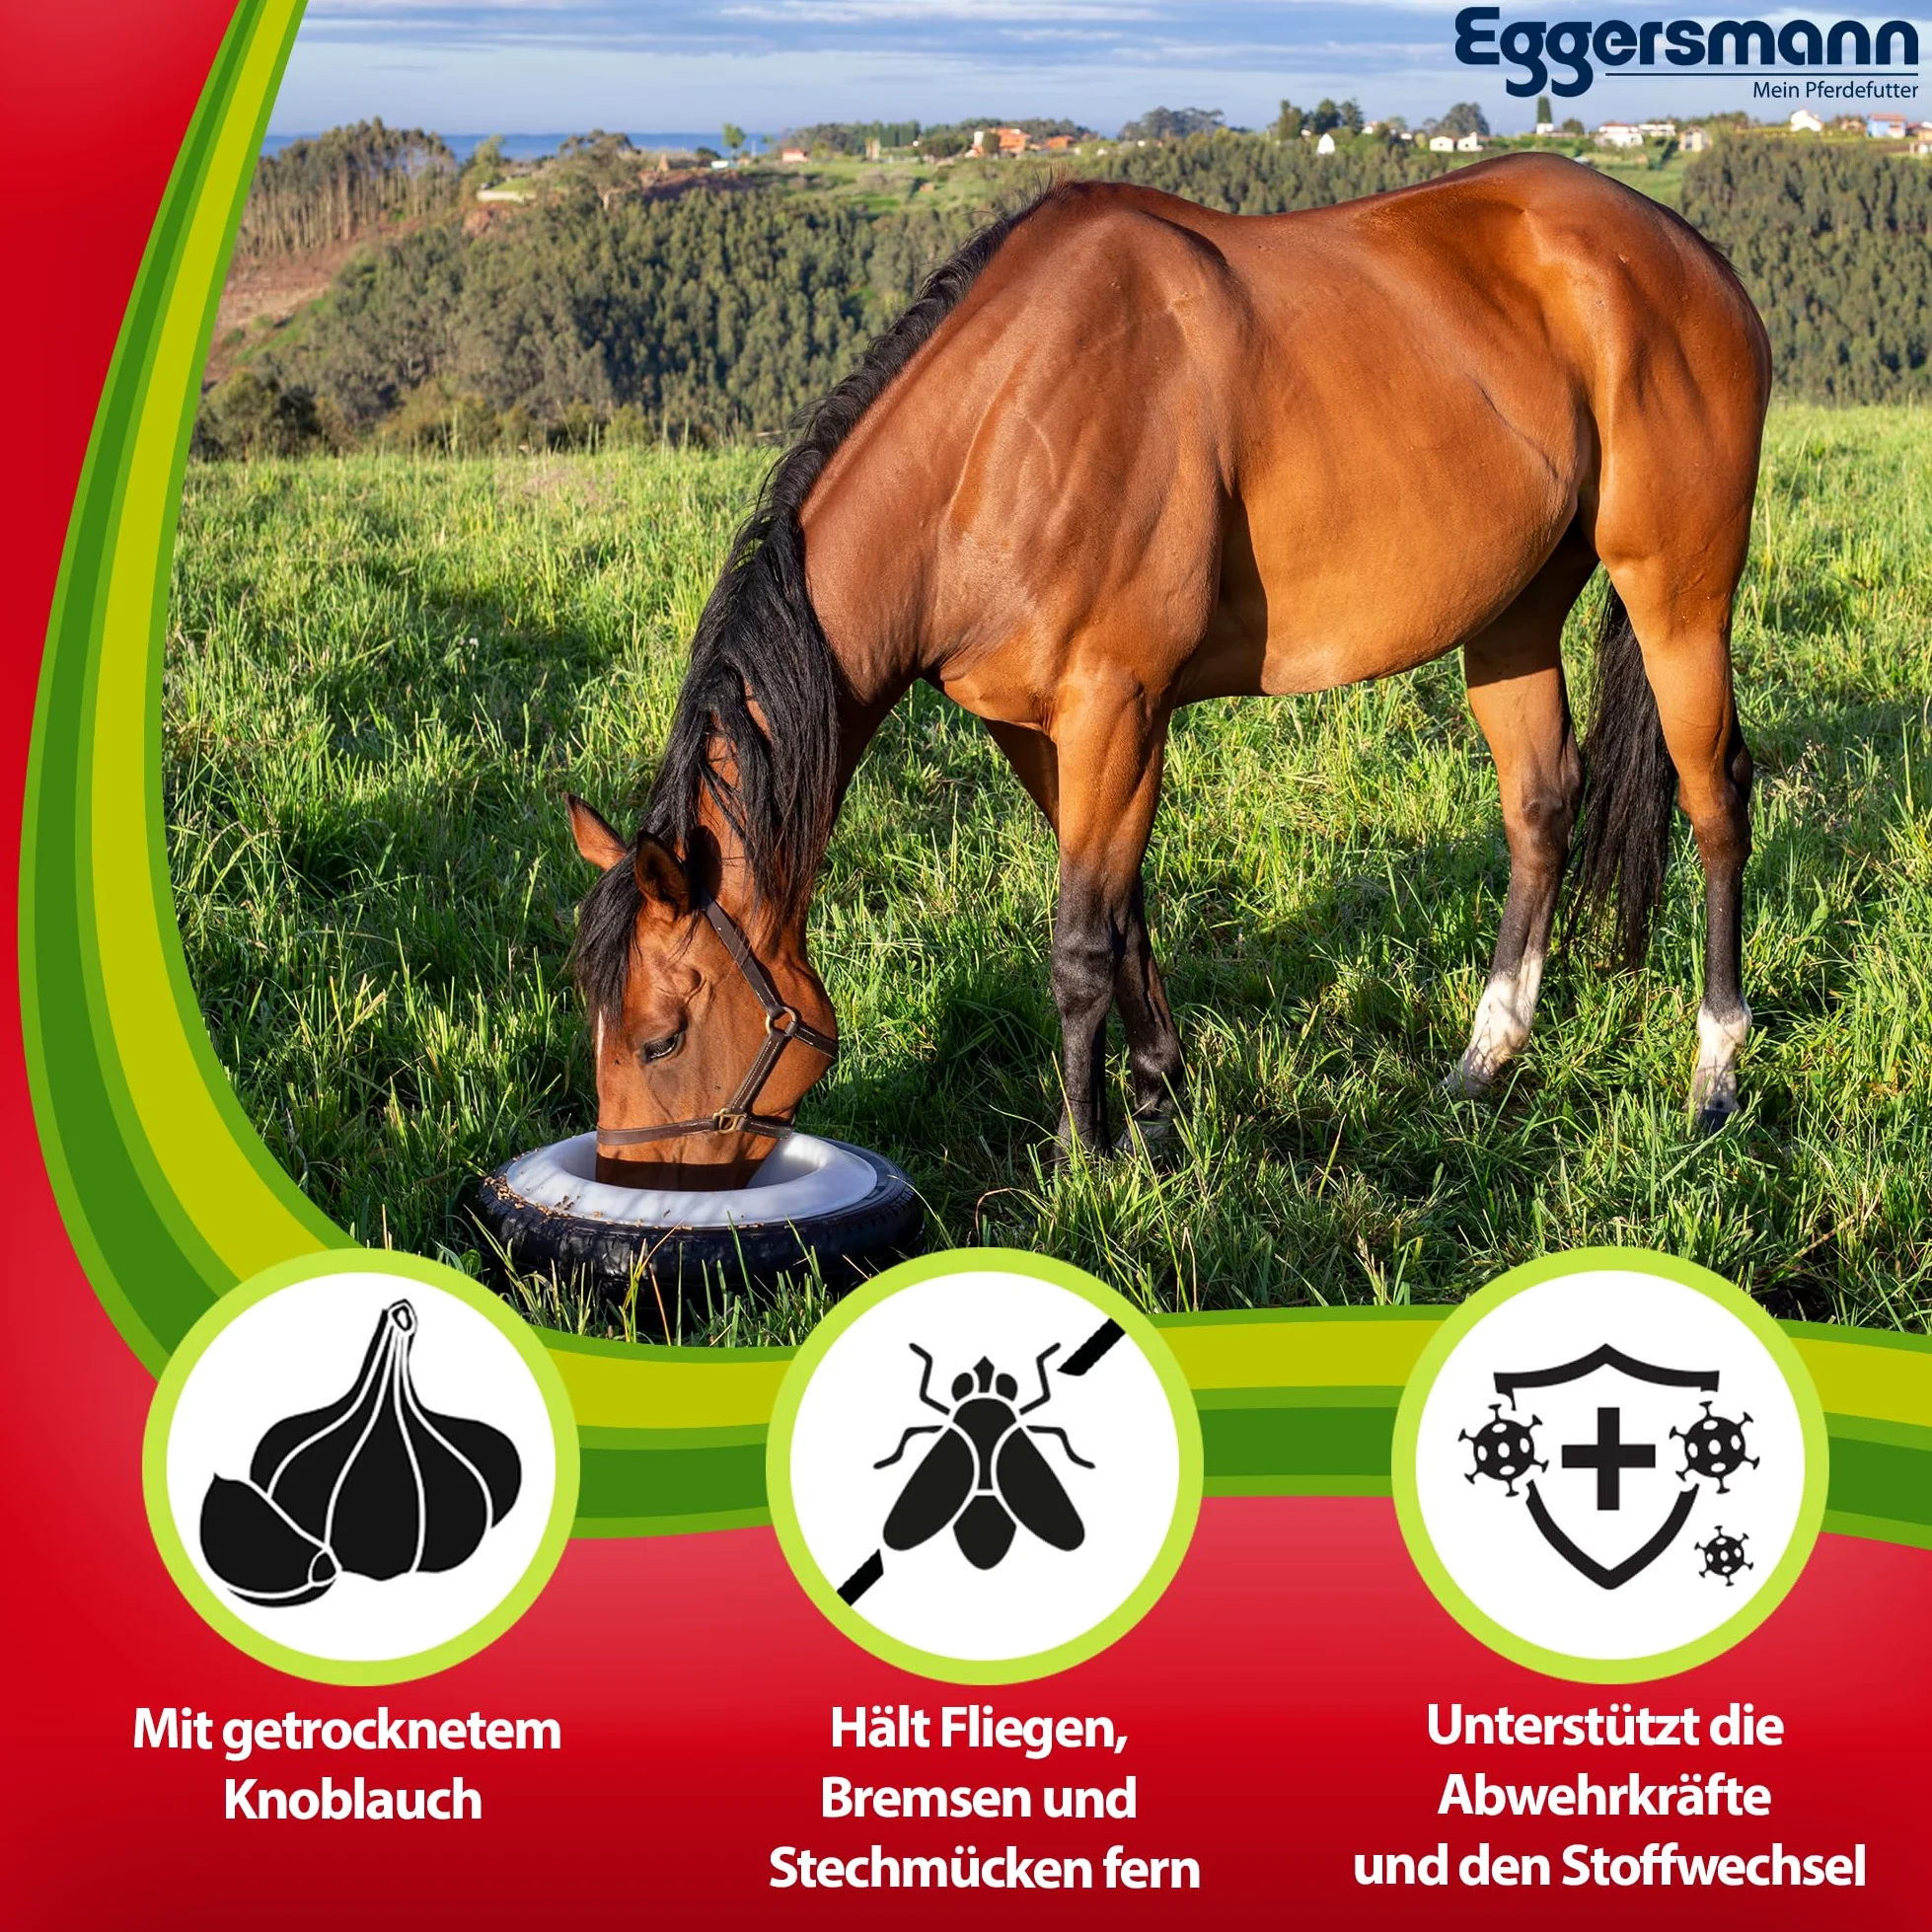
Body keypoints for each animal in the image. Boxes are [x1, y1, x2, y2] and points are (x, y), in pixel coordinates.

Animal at [566, 153, 1769, 1189]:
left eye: (662, 1035)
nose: (634, 1192)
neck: (999, 436)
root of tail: (1686, 252)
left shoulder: (1117, 707)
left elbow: (1077, 946)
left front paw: (1081, 1153)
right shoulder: (1039, 730)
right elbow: (1124, 917)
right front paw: (1153, 1106)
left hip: (1677, 592)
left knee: (1714, 797)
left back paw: (1713, 1073)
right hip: (1510, 616)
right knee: (1540, 806)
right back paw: (1483, 1061)